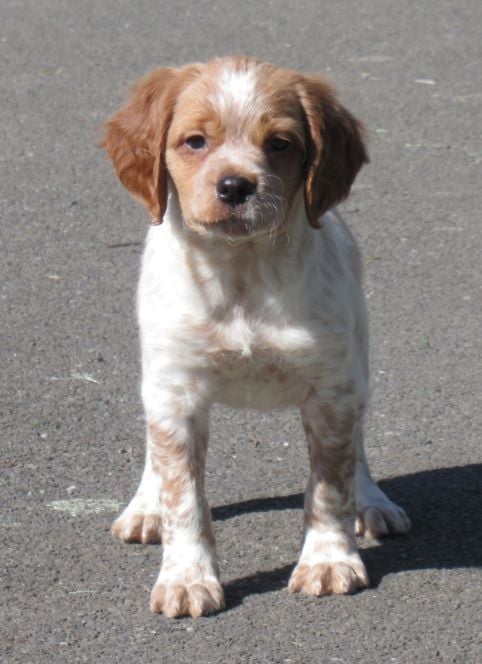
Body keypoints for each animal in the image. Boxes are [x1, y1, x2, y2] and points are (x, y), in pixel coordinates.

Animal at [102, 56, 410, 618]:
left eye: (281, 143)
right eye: (194, 141)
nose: (235, 187)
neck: (242, 271)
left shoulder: (332, 390)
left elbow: (329, 486)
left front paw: (328, 560)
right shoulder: (175, 391)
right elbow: (184, 496)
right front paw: (186, 577)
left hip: (358, 362)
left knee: (358, 446)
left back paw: (373, 501)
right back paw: (145, 507)